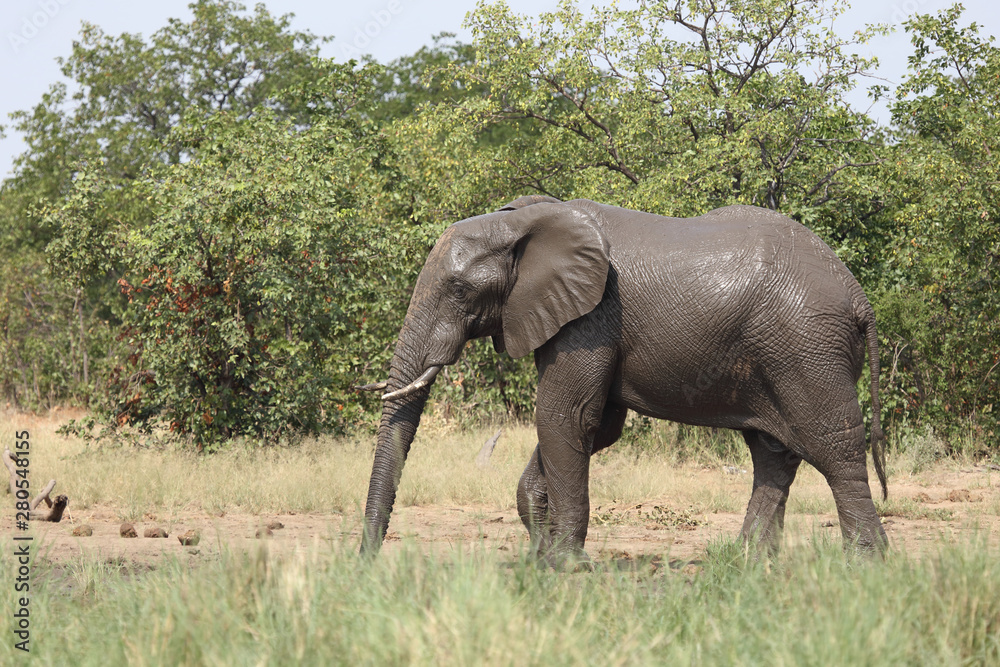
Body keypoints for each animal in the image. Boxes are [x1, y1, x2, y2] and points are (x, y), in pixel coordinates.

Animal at [360, 194, 892, 564]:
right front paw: (539, 554)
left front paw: (565, 564)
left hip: (807, 346)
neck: (525, 221)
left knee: (835, 448)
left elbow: (566, 416)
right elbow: (596, 425)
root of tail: (859, 297)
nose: (363, 566)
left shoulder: (593, 317)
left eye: (458, 289)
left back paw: (866, 565)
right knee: (773, 454)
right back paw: (747, 563)